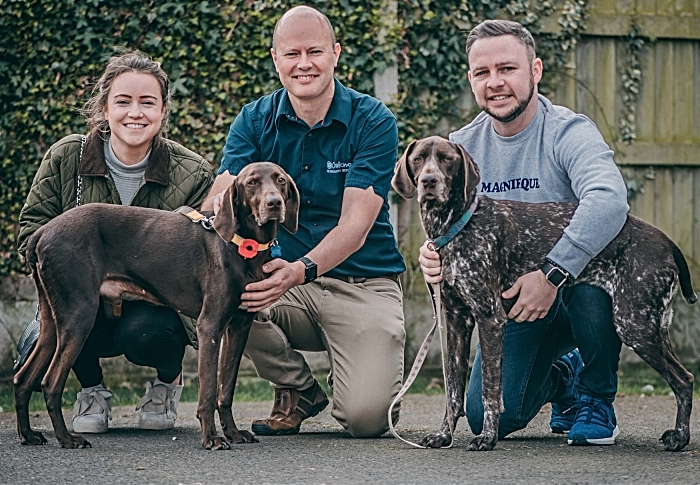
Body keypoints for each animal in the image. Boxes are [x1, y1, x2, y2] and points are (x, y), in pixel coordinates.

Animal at [13, 161, 298, 448]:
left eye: (281, 180)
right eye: (252, 182)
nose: (274, 203)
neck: (242, 244)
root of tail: (41, 233)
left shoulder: (239, 327)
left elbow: (225, 390)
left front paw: (234, 434)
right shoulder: (210, 326)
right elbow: (208, 391)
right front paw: (211, 438)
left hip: (52, 323)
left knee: (23, 379)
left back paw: (29, 435)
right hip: (79, 316)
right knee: (50, 382)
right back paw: (66, 438)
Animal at [392, 135, 696, 450]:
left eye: (447, 159)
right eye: (418, 159)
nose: (428, 181)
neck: (456, 225)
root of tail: (666, 242)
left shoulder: (490, 318)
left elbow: (490, 390)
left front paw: (487, 437)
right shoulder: (457, 322)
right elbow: (452, 390)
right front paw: (444, 435)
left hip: (633, 324)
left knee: (684, 378)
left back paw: (680, 437)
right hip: (651, 324)